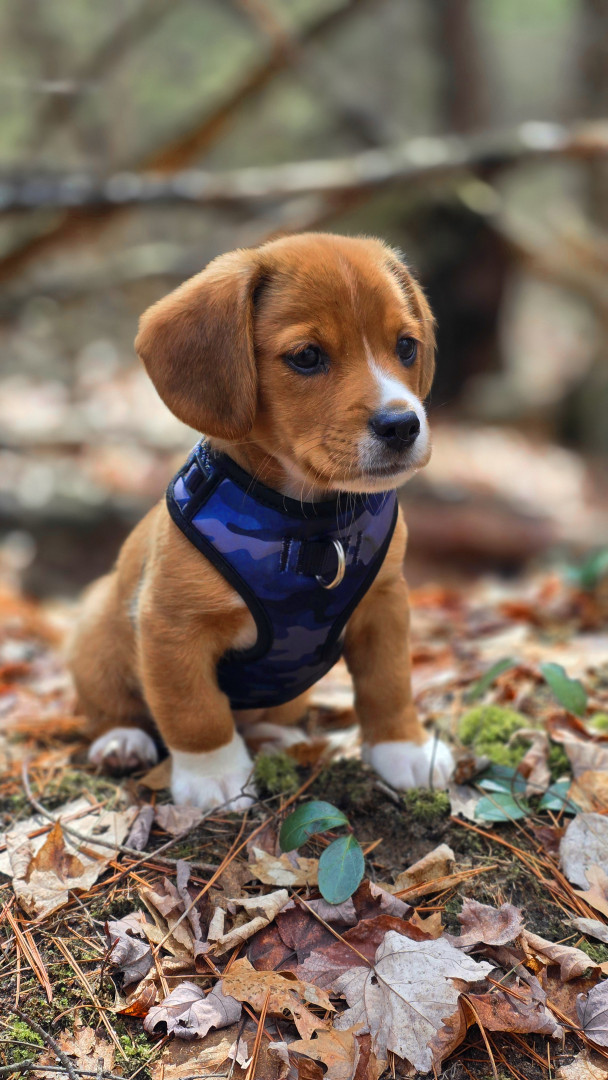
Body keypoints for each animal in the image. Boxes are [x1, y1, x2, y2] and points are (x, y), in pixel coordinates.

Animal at [68, 232, 454, 810]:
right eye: (307, 356)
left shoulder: (385, 607)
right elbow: (194, 709)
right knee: (112, 710)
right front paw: (214, 775)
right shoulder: (171, 627)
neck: (308, 521)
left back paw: (277, 738)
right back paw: (122, 741)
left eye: (406, 346)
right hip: (97, 634)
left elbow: (389, 685)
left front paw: (404, 747)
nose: (402, 424)